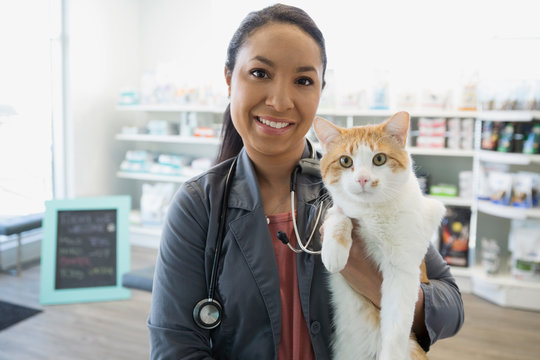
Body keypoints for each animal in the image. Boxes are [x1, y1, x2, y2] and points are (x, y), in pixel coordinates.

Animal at [314, 112, 446, 360]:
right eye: (345, 161)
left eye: (379, 159)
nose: (363, 179)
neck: (372, 211)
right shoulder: (339, 208)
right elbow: (339, 215)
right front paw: (334, 251)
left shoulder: (403, 269)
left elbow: (395, 327)